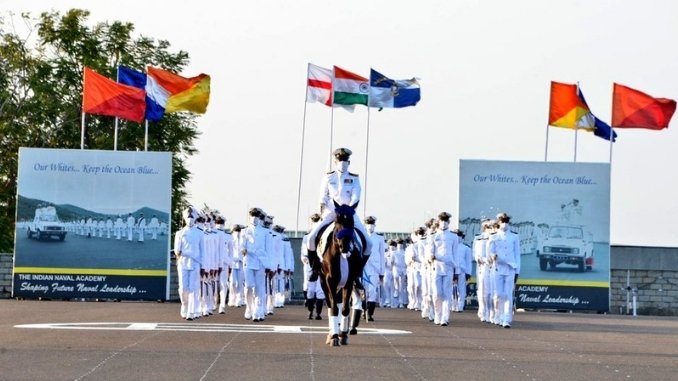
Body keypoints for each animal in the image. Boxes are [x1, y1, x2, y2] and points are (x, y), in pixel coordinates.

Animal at [318, 203, 366, 346]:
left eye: (351, 222)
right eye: (337, 220)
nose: (344, 245)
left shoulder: (349, 281)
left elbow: (345, 309)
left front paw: (343, 335)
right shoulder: (330, 280)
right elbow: (333, 308)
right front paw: (334, 337)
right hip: (323, 282)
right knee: (330, 304)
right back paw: (331, 334)